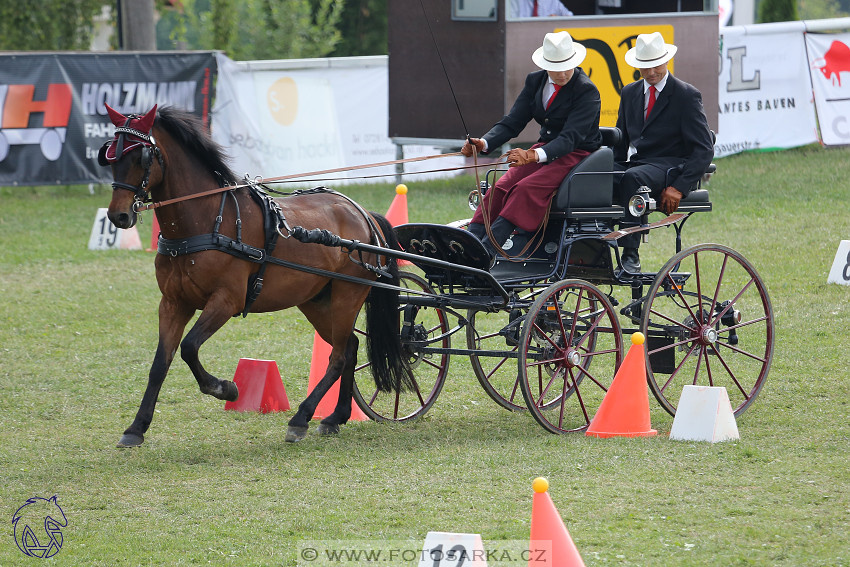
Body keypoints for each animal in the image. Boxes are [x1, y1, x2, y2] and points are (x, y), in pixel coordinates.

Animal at [99, 103, 410, 448]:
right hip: (316, 301)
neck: (207, 220)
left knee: (339, 356)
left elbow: (190, 347)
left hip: (347, 295)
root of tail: (361, 212)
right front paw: (136, 428)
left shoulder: (226, 301)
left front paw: (225, 388)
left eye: (141, 157)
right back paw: (334, 417)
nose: (118, 215)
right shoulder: (172, 303)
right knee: (351, 348)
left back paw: (301, 418)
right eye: (109, 155)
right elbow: (159, 364)